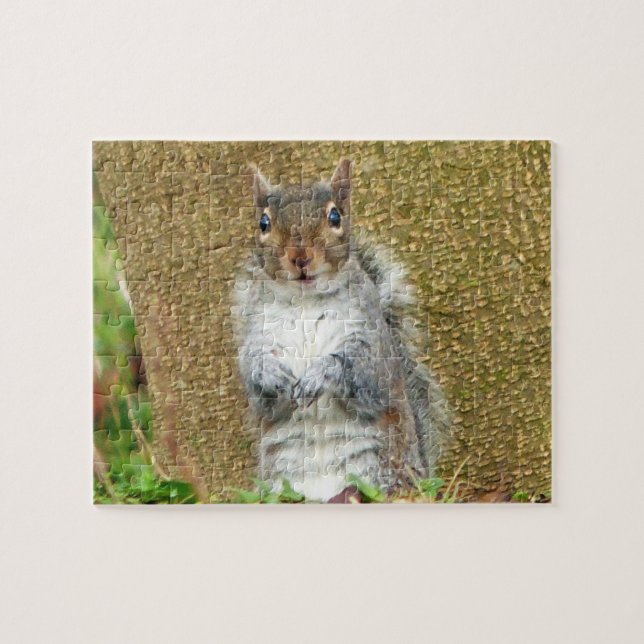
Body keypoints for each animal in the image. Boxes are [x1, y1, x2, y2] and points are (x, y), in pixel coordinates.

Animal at [232, 159, 448, 502]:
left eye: (335, 217)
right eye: (263, 223)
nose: (300, 257)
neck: (305, 301)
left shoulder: (371, 337)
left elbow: (363, 369)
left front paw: (321, 373)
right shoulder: (258, 331)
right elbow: (253, 372)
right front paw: (271, 372)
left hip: (383, 468)